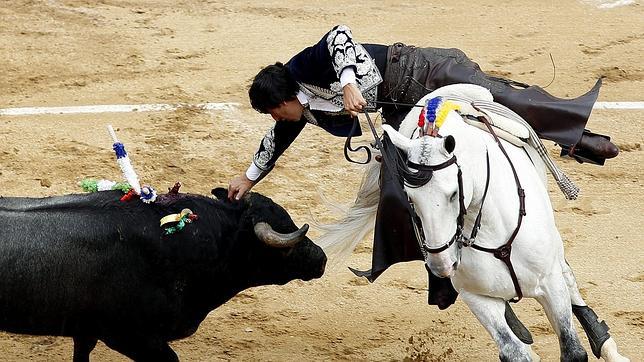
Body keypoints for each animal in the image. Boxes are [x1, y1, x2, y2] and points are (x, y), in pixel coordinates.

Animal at [320, 83, 632, 360]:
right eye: (410, 199)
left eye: (453, 193)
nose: (441, 266)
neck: (493, 232)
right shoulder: (476, 297)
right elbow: (513, 351)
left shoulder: (551, 284)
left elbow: (572, 348)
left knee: (569, 279)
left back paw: (607, 347)